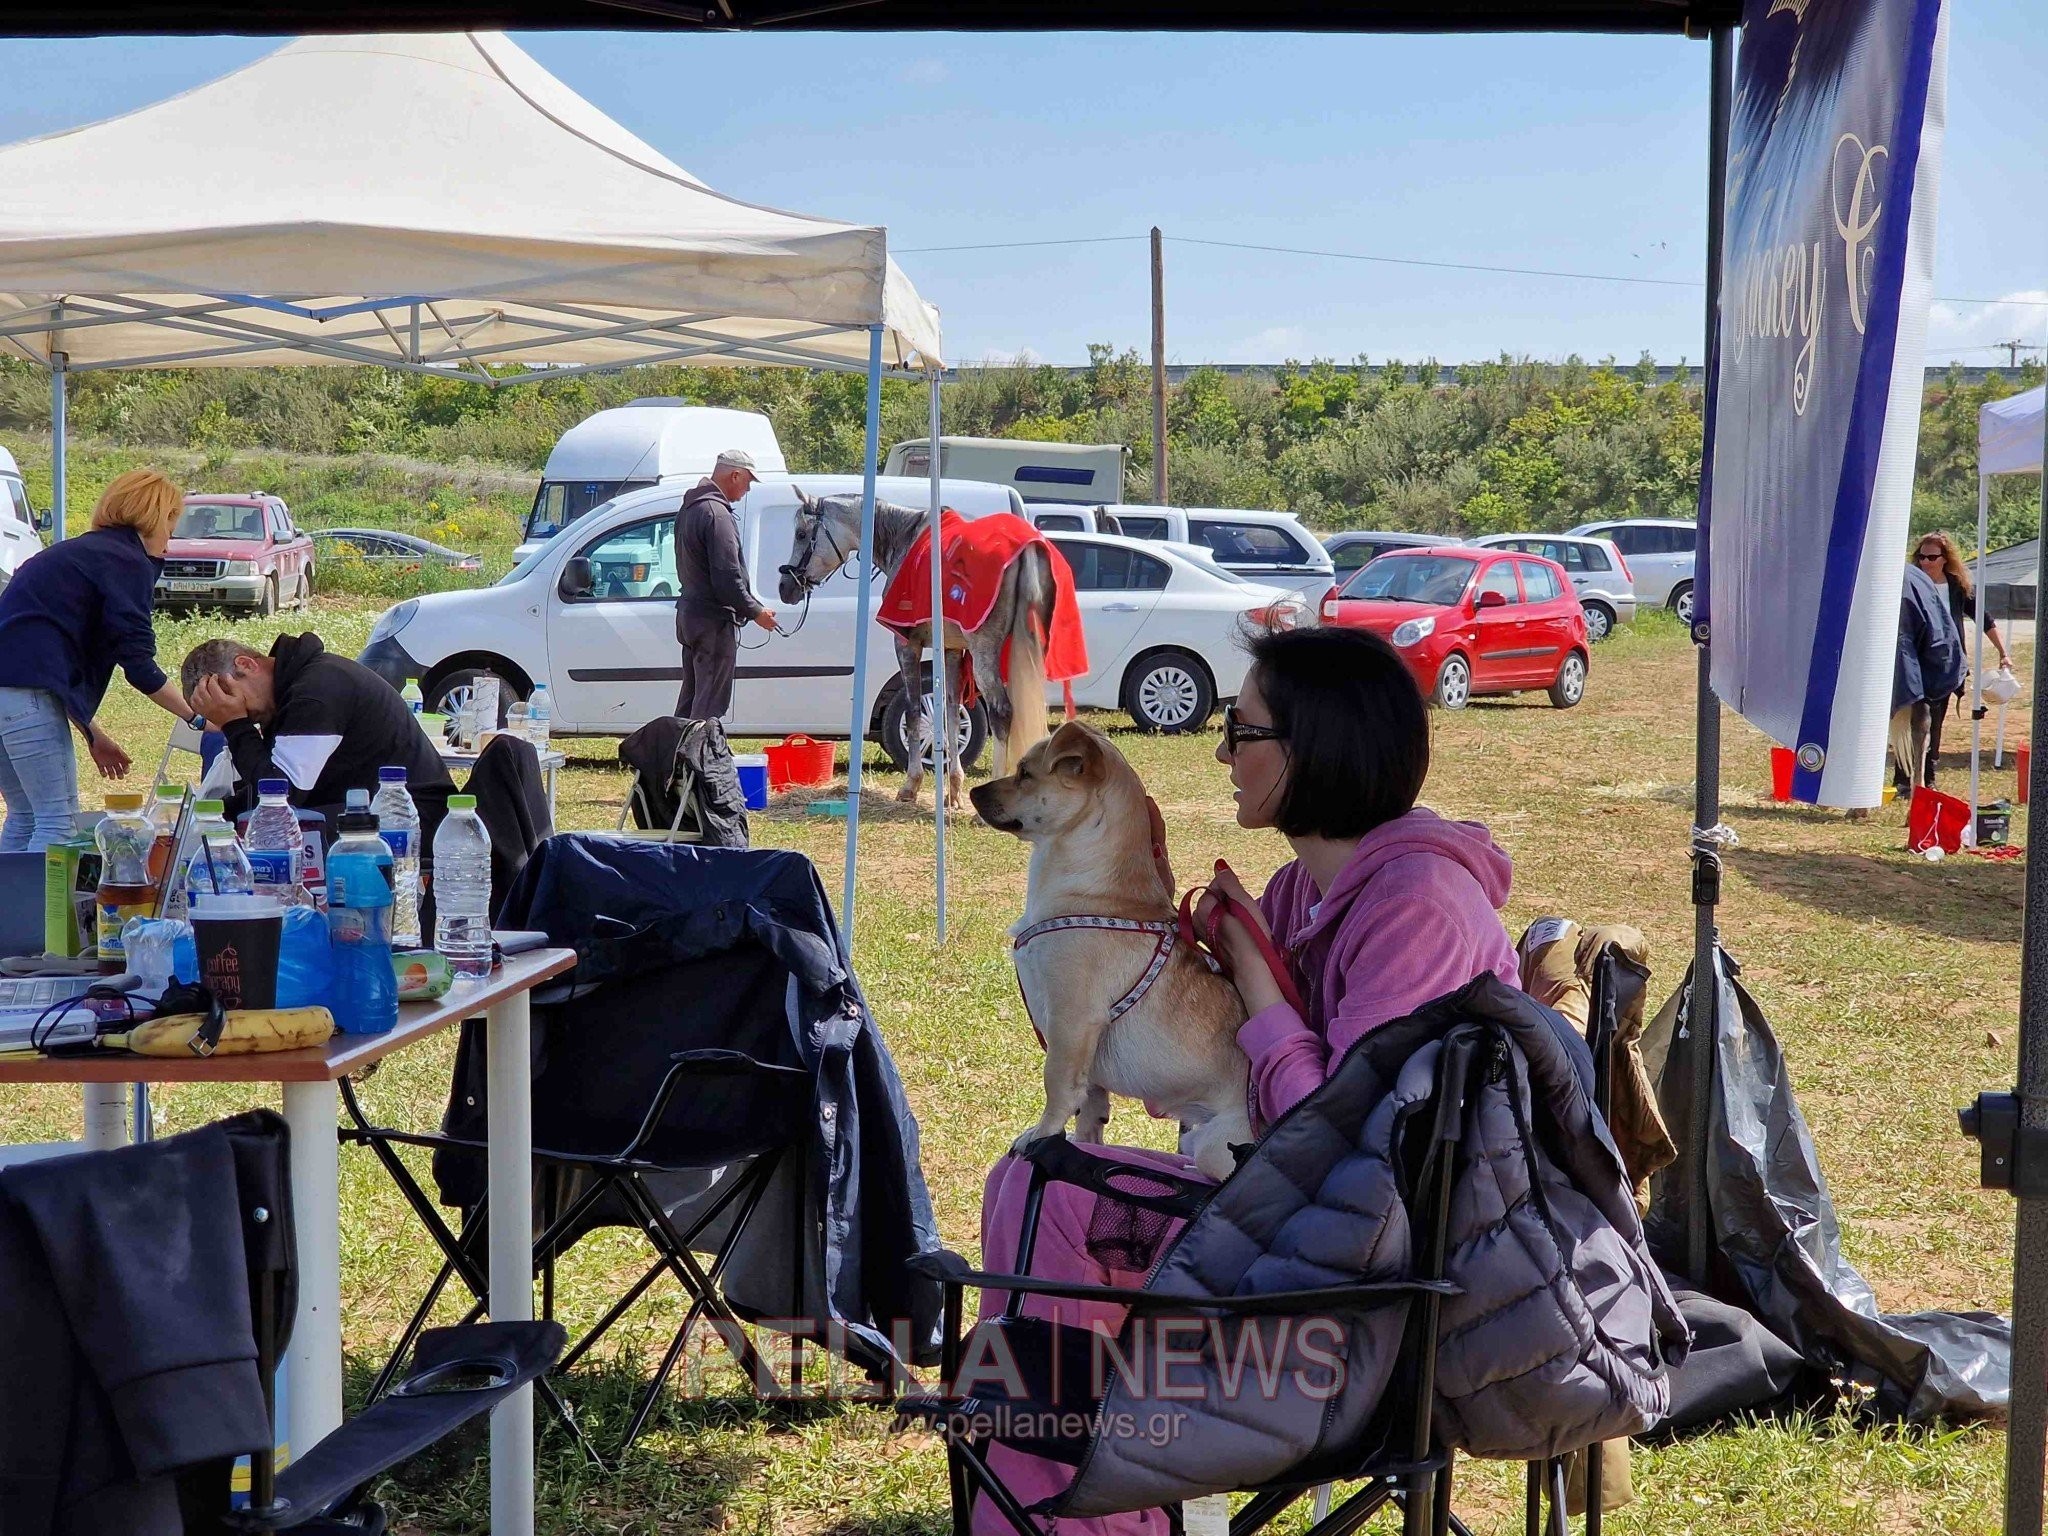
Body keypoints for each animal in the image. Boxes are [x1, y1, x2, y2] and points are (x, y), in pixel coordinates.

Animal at [970, 720, 1245, 1179]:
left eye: (1025, 773)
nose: (974, 792)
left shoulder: (1071, 1020)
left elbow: (1058, 1087)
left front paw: (1041, 1136)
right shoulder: (1086, 1049)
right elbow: (1089, 1103)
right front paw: (1084, 1145)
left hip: (1215, 1145)